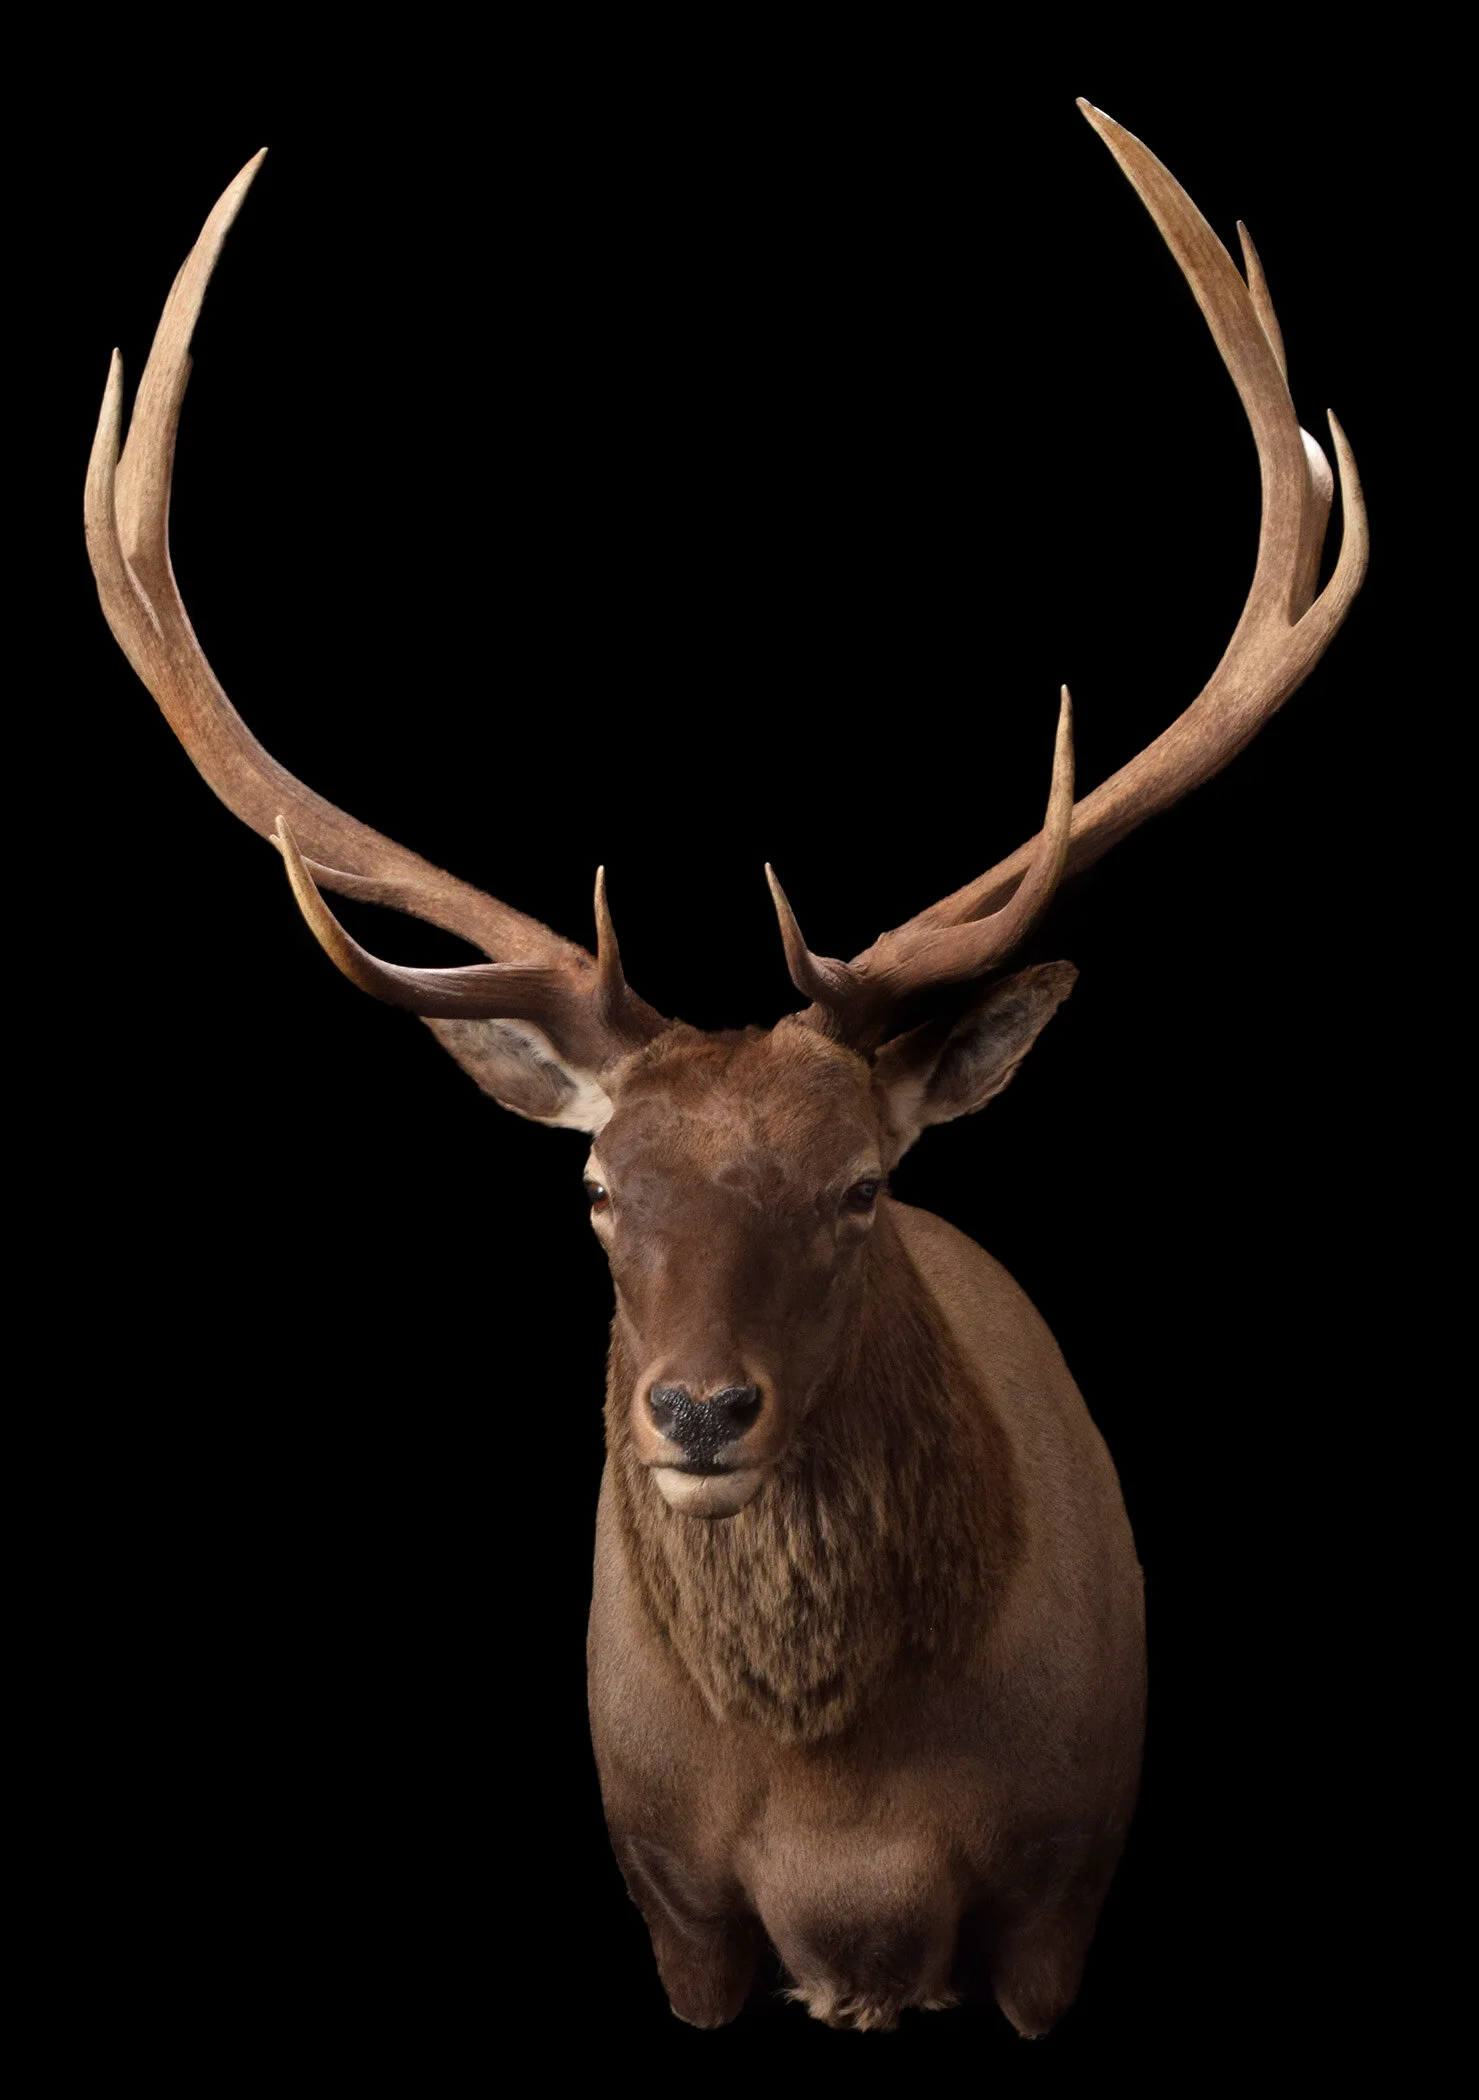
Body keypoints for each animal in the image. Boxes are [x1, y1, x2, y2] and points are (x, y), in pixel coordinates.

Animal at [84, 100, 1366, 2036]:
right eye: (600, 1189)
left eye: (860, 1186)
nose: (694, 1411)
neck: (843, 1824)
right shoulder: (671, 1897)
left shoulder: (1060, 1888)